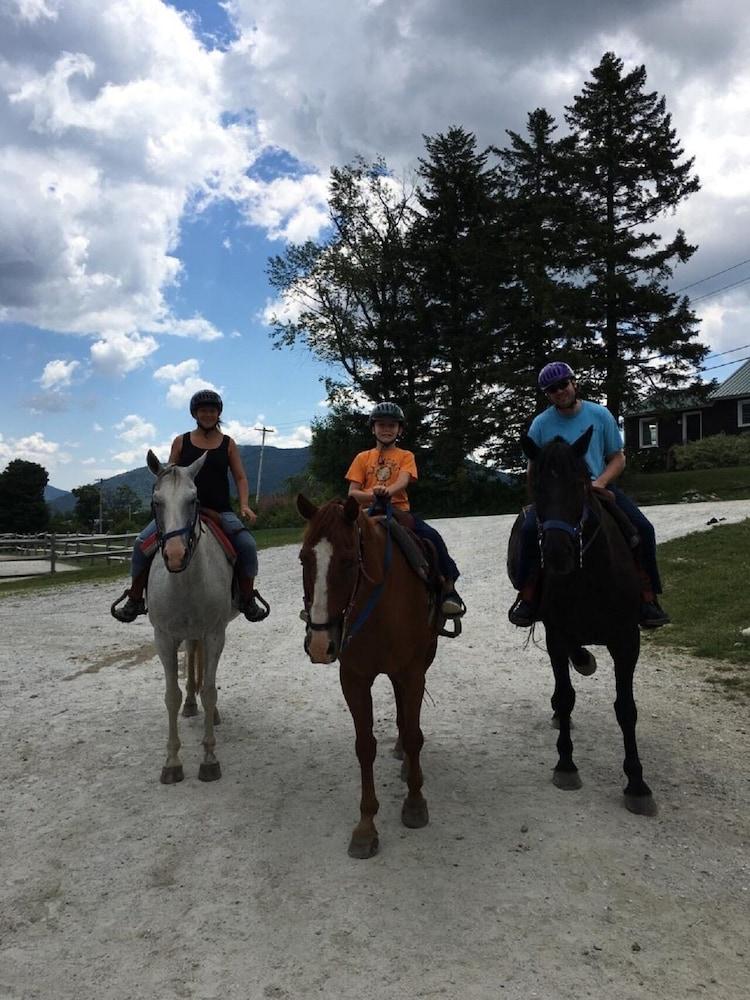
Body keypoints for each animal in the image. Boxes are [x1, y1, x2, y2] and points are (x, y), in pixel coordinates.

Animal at [145, 450, 239, 784]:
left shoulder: (214, 634)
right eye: (156, 501)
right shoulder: (164, 637)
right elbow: (170, 696)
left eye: (194, 499)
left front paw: (209, 759)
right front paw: (172, 762)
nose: (175, 555)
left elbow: (210, 691)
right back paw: (189, 703)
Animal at [298, 496, 444, 856]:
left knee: (409, 720)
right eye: (304, 558)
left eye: (349, 562)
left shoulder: (412, 673)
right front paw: (366, 826)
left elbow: (414, 735)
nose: (320, 644)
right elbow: (364, 746)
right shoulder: (353, 679)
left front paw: (415, 804)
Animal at [524, 428, 656, 812]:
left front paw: (637, 784)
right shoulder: (555, 634)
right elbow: (566, 696)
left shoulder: (626, 640)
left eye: (581, 483)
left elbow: (626, 709)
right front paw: (566, 765)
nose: (557, 553)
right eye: (535, 486)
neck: (588, 577)